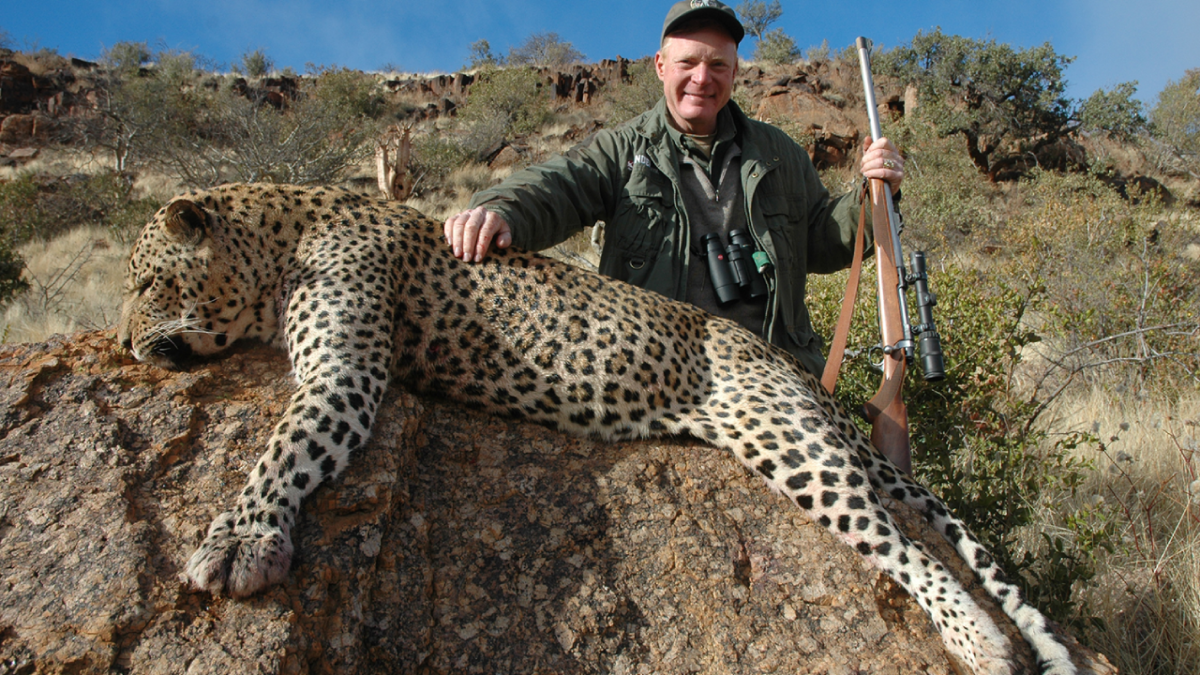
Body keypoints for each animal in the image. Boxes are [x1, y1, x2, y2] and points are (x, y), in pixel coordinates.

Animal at [118, 183, 1077, 675]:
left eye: (144, 283)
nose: (125, 343)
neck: (281, 235)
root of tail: (804, 375)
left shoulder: (346, 374)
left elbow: (283, 446)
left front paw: (240, 539)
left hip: (787, 438)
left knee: (907, 548)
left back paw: (977, 640)